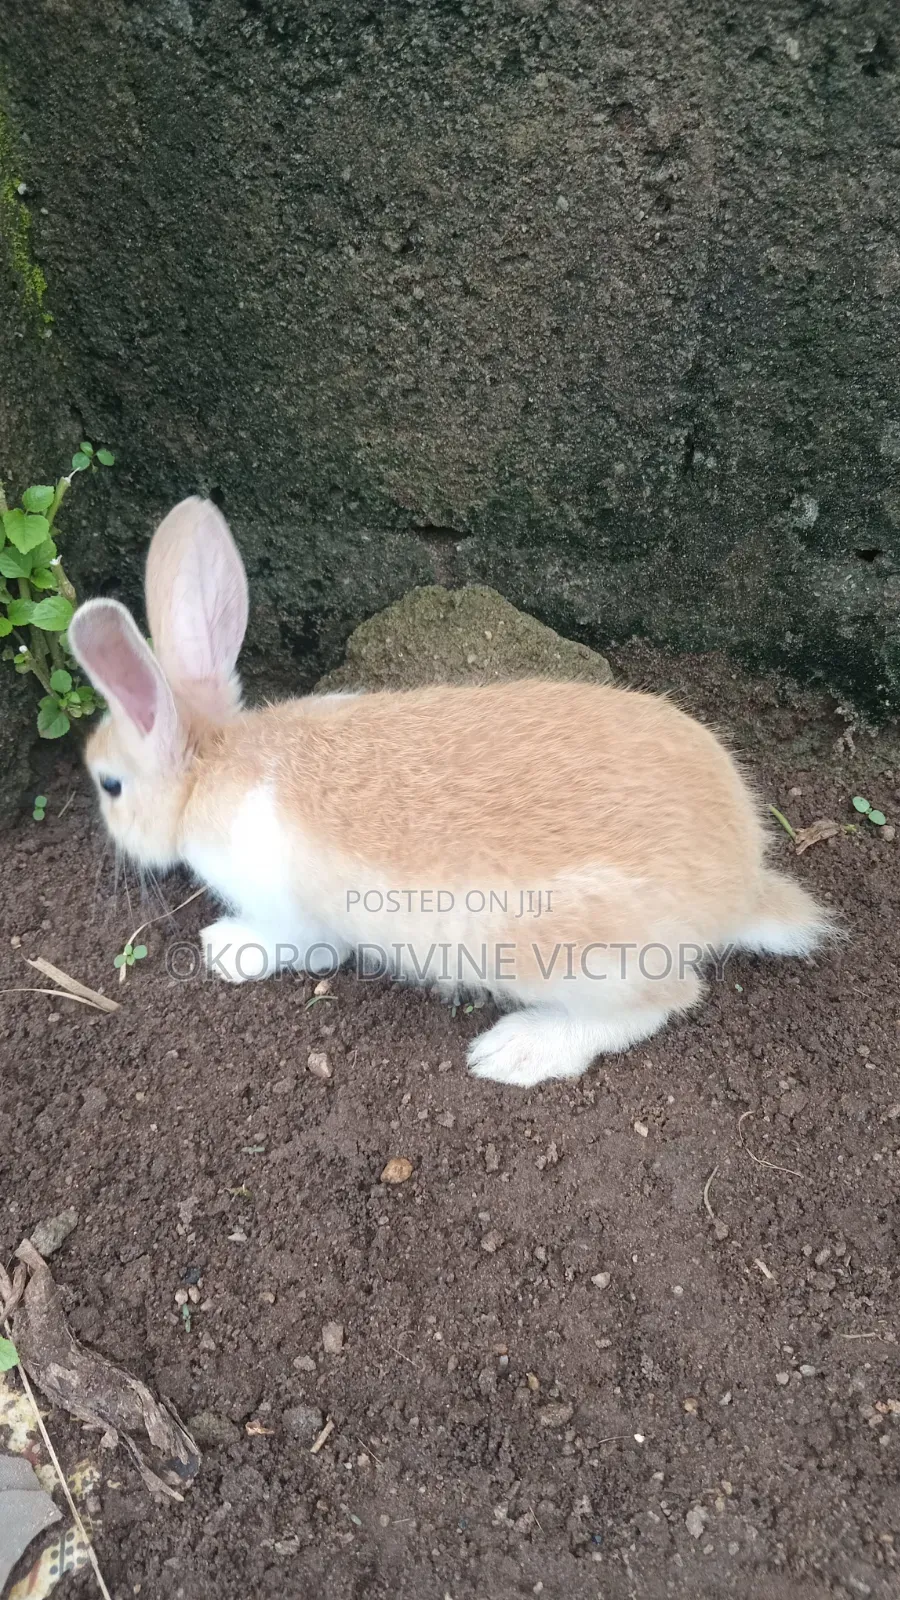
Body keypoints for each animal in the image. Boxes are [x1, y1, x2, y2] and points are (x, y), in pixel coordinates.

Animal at [68, 497, 831, 1087]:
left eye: (111, 784)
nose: (112, 837)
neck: (212, 767)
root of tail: (741, 889)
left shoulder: (293, 914)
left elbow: (293, 945)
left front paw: (224, 949)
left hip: (572, 958)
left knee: (665, 999)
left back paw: (516, 1051)